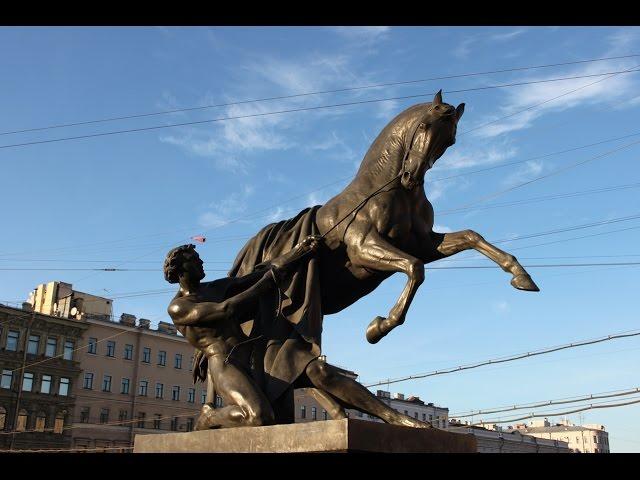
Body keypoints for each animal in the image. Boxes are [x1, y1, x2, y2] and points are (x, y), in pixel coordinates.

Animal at [316, 90, 540, 344]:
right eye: (423, 125)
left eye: (450, 141)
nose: (410, 176)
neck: (380, 190)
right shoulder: (360, 246)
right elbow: (415, 268)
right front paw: (378, 327)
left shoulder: (423, 244)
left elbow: (471, 237)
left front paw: (521, 276)